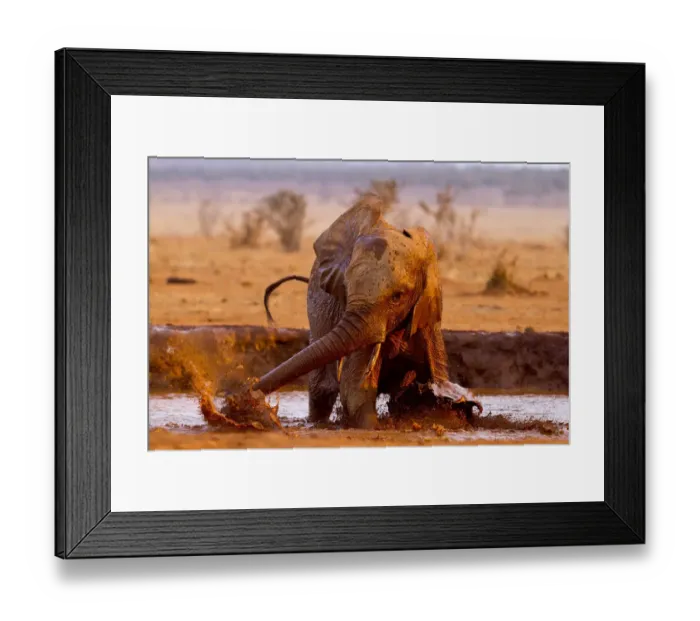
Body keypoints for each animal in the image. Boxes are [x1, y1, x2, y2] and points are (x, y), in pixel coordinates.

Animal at [253, 194, 481, 428]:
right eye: (345, 288)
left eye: (397, 297)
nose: (249, 391)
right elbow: (355, 390)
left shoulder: (426, 318)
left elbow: (435, 380)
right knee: (320, 392)